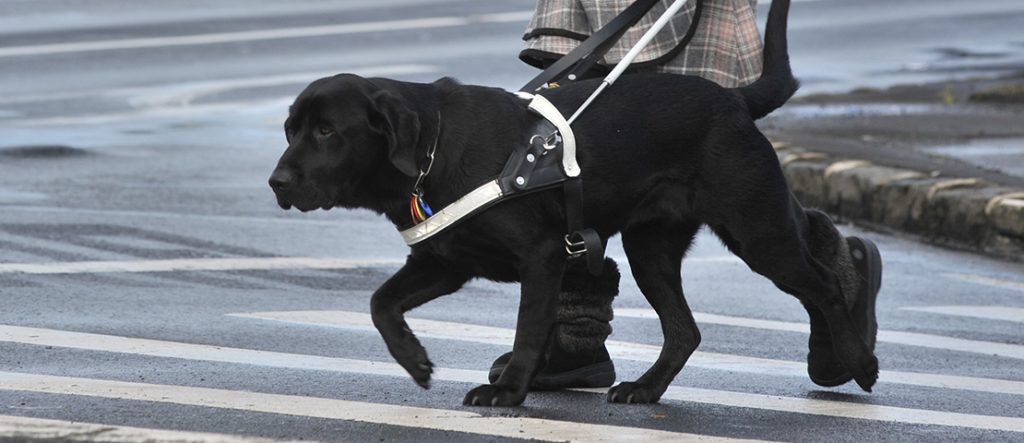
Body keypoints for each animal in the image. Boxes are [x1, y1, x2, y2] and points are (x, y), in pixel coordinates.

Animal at [268, 0, 876, 405]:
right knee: (686, 330)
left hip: (756, 229)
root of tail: (734, 98)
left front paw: (509, 391)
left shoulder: (540, 256)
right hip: (653, 248)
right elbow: (381, 303)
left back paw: (857, 358)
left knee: (823, 284)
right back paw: (645, 389)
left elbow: (528, 328)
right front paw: (415, 361)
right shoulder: (445, 262)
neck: (432, 151)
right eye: (290, 128)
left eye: (326, 131)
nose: (276, 181)